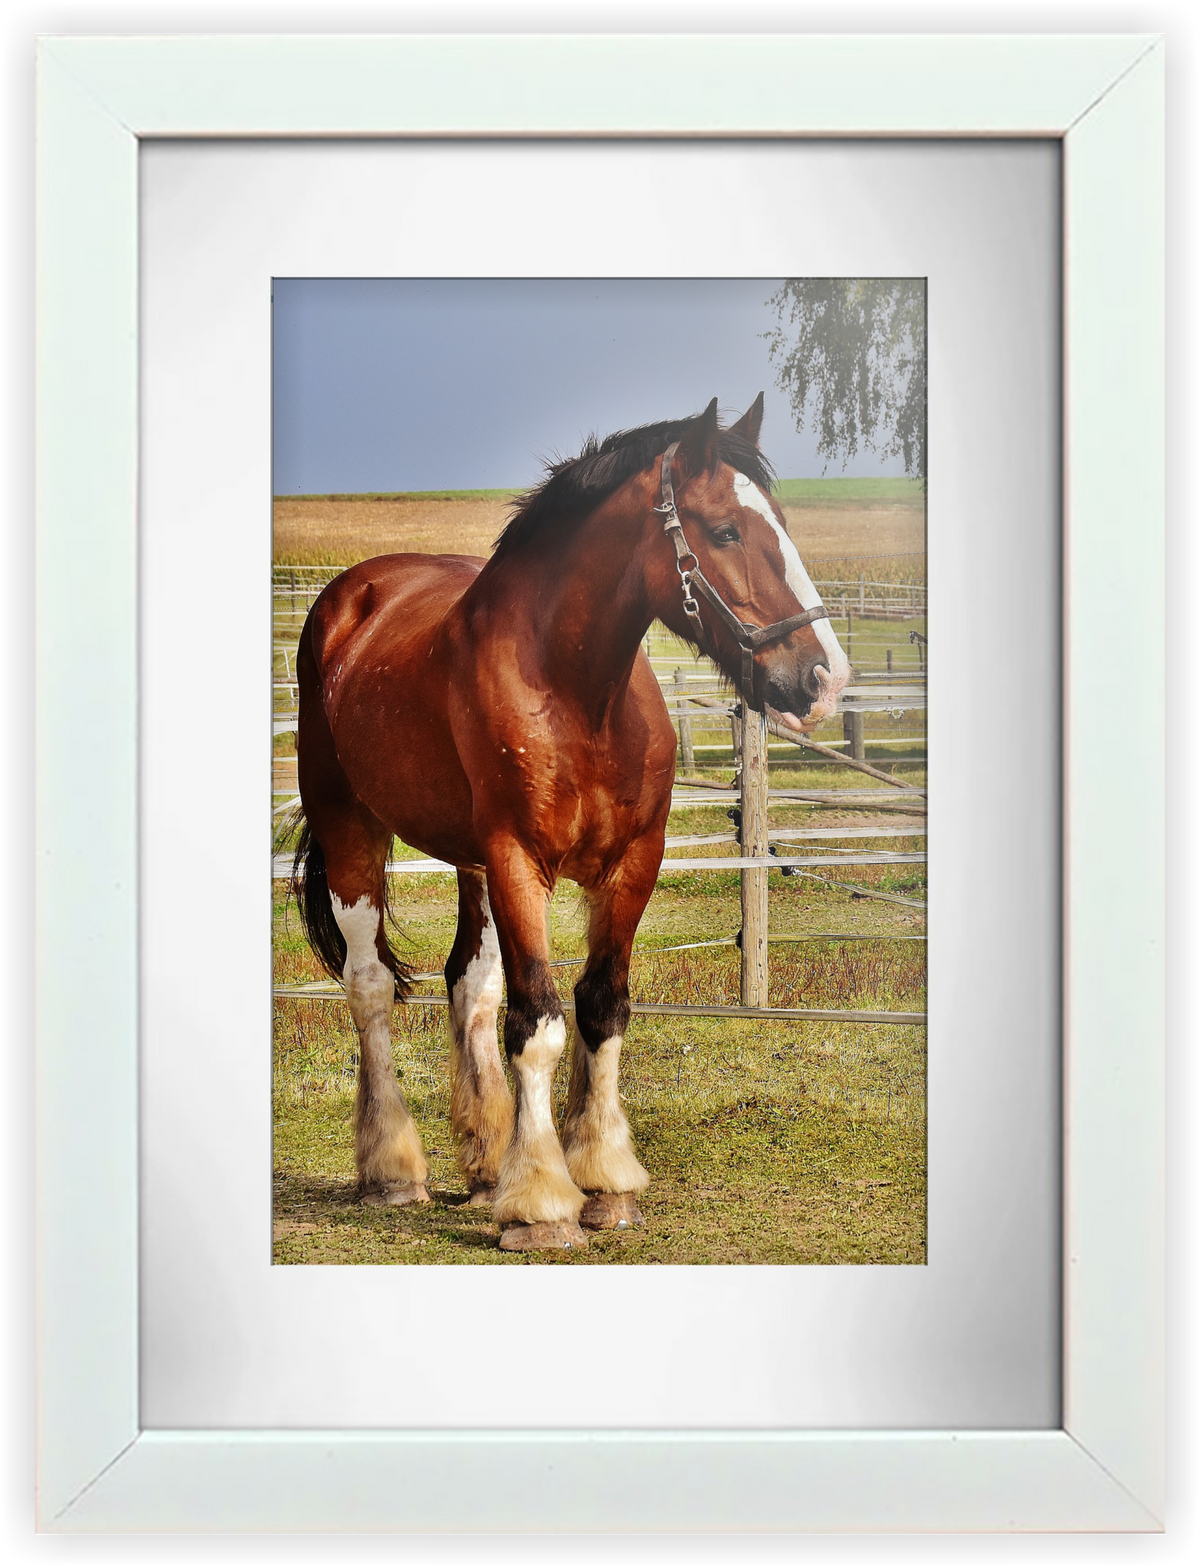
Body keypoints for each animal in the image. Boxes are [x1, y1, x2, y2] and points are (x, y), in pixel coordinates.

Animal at [289, 394, 850, 1251]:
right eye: (726, 531)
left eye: (781, 522)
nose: (823, 679)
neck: (577, 692)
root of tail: (349, 597)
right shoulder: (518, 859)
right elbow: (540, 1022)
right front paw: (543, 1206)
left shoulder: (631, 861)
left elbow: (599, 1007)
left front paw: (603, 1183)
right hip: (353, 828)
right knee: (371, 987)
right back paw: (393, 1170)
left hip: (469, 864)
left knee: (469, 984)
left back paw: (486, 1164)